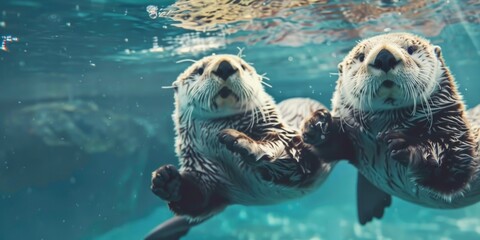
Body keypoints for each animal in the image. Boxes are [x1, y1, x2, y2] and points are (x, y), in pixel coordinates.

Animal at [146, 54, 338, 240]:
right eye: (199, 70)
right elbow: (199, 197)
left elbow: (288, 155)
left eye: (243, 66)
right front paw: (167, 180)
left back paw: (317, 123)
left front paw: (241, 140)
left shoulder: (288, 141)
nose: (225, 66)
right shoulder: (203, 169)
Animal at [306, 32, 478, 225]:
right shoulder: (355, 141)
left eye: (410, 49)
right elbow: (333, 149)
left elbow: (454, 167)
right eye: (361, 56)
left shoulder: (454, 129)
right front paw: (317, 124)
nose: (384, 57)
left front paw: (405, 146)